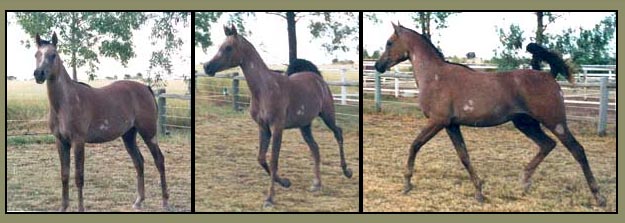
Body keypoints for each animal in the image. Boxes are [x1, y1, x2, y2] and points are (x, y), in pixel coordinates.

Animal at [33, 32, 169, 212]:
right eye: (37, 54)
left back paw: (165, 202)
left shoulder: (78, 141)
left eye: (53, 55)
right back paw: (138, 201)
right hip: (129, 136)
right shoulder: (61, 142)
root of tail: (146, 88)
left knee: (159, 160)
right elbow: (64, 175)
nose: (39, 74)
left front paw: (80, 209)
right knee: (139, 162)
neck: (65, 103)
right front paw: (63, 207)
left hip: (149, 133)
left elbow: (79, 177)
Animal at [204, 25, 352, 208]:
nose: (207, 67)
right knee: (315, 148)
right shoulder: (263, 128)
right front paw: (285, 182)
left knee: (338, 133)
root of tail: (318, 78)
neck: (264, 89)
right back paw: (317, 184)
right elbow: (261, 158)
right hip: (305, 125)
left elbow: (274, 160)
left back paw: (347, 171)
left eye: (228, 47)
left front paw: (269, 198)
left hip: (327, 115)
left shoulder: (277, 127)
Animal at [372, 23, 604, 206]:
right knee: (547, 144)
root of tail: (549, 76)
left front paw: (407, 184)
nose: (378, 65)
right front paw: (479, 191)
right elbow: (464, 156)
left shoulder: (437, 122)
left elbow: (415, 145)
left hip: (555, 122)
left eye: (389, 42)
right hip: (526, 124)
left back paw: (598, 196)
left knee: (577, 150)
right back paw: (524, 183)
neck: (435, 76)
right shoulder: (451, 125)